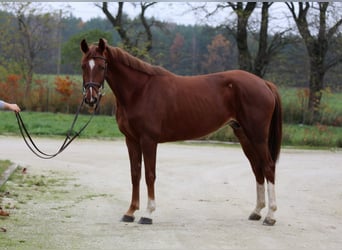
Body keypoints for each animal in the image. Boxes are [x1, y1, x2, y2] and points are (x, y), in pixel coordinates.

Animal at [81, 38, 282, 226]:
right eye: (83, 66)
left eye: (101, 66)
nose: (90, 99)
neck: (140, 91)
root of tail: (264, 83)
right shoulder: (131, 140)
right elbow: (135, 174)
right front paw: (130, 212)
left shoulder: (148, 140)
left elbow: (150, 175)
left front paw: (148, 214)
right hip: (244, 136)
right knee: (257, 168)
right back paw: (257, 211)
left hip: (257, 136)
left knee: (268, 166)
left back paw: (271, 216)